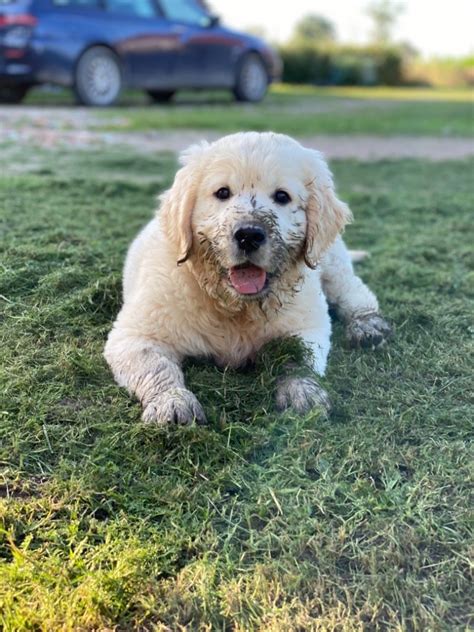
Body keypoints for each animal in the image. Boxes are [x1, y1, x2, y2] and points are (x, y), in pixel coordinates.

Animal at [105, 133, 390, 424]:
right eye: (222, 192)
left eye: (282, 196)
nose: (249, 235)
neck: (235, 305)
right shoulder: (138, 334)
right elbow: (156, 367)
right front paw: (171, 401)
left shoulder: (306, 322)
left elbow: (297, 354)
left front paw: (302, 390)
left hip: (330, 261)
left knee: (354, 291)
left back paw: (367, 325)